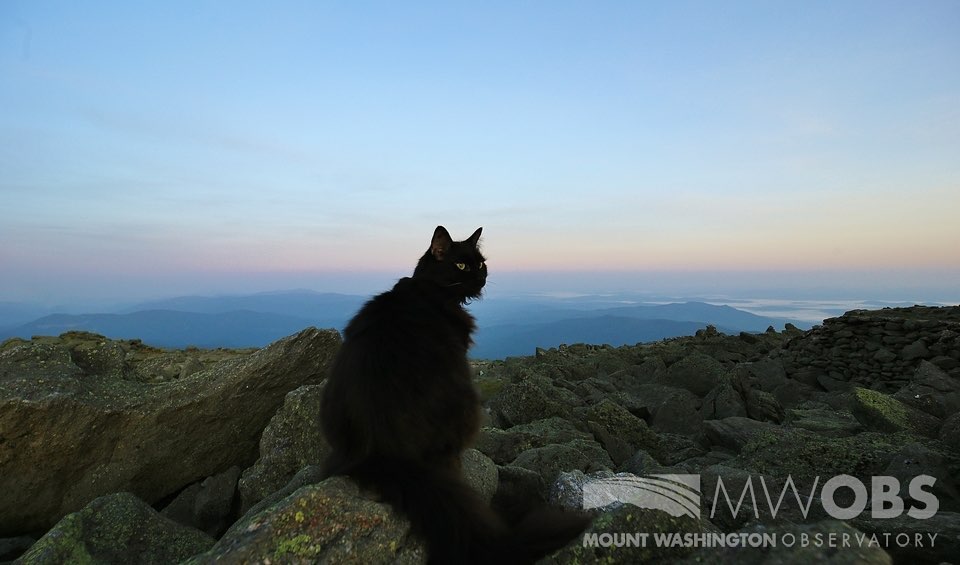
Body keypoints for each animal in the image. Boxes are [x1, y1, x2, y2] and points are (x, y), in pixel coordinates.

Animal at [318, 226, 588, 564]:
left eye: (481, 263)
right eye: (461, 265)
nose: (480, 277)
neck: (428, 290)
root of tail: (381, 449)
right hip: (465, 404)